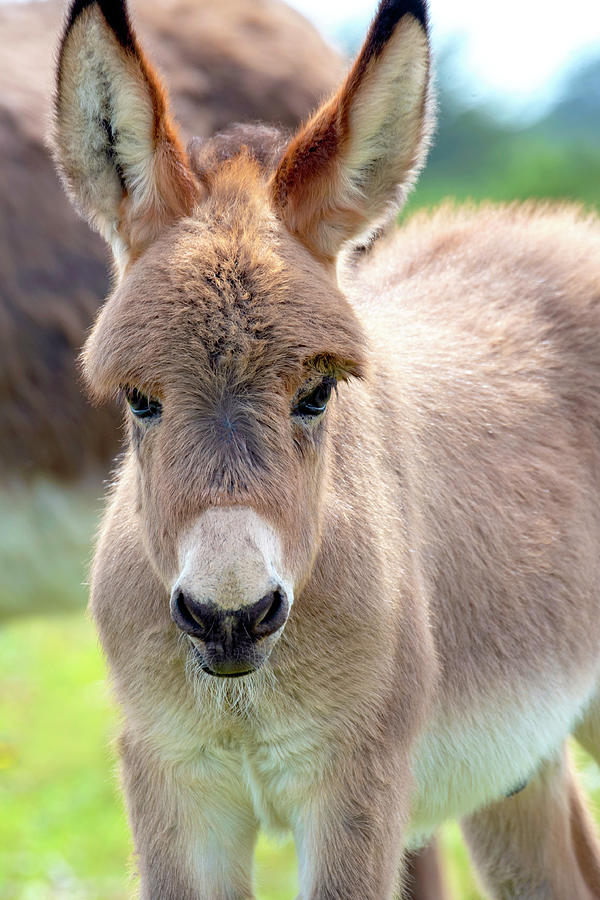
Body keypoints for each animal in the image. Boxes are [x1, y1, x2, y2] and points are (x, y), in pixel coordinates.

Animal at [50, 0, 600, 896]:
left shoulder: (357, 782)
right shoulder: (172, 779)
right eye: (139, 399)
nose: (229, 620)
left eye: (318, 393)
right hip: (519, 764)